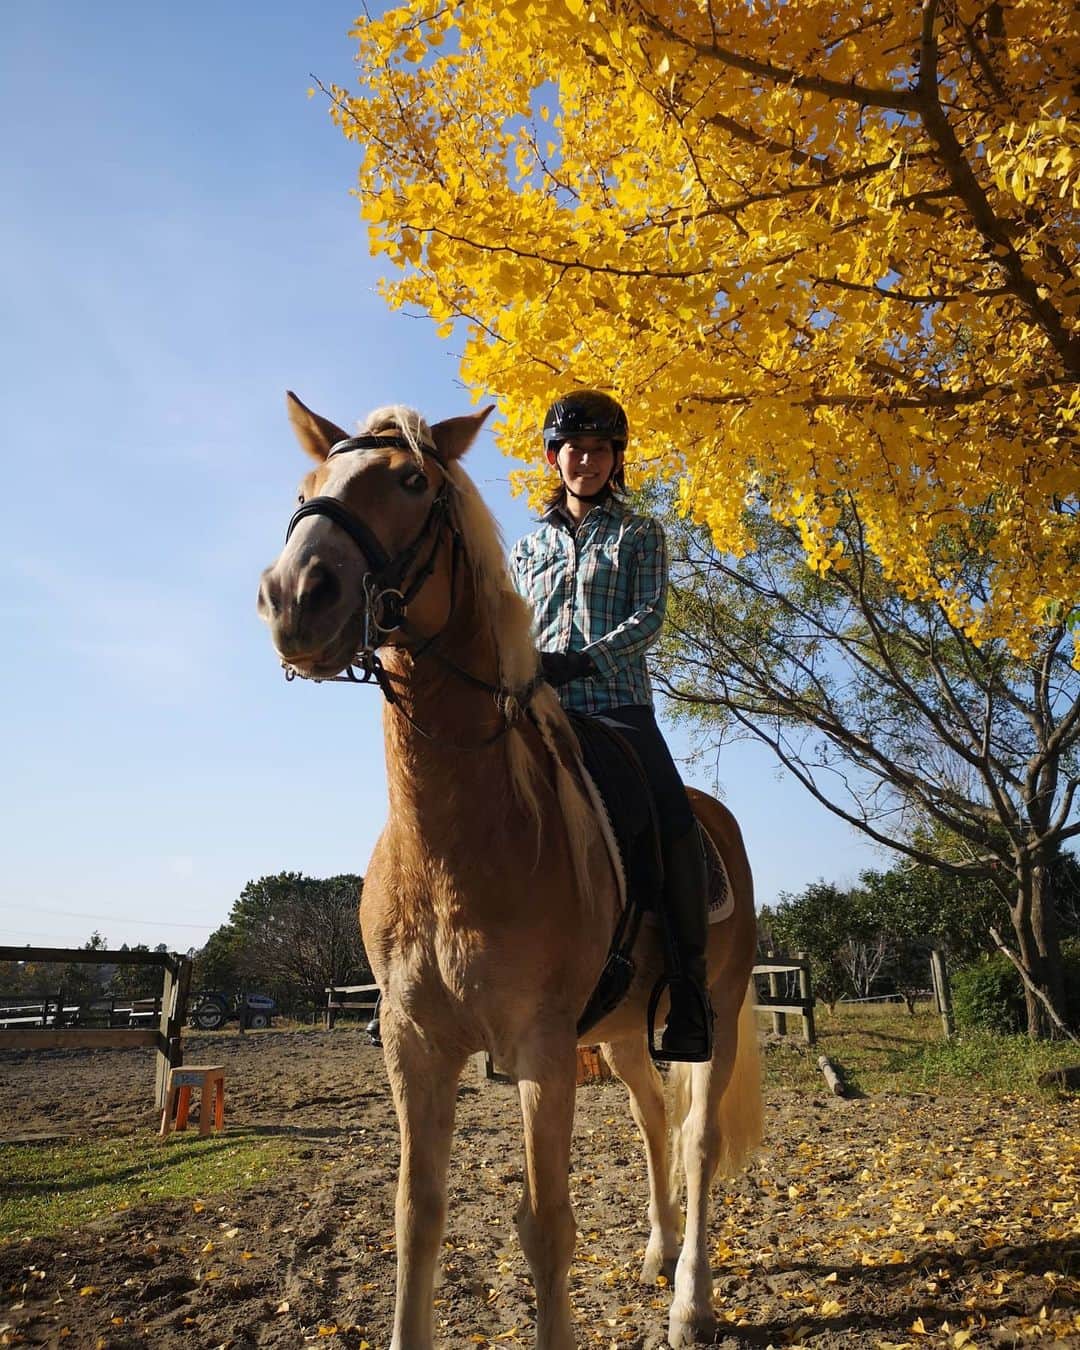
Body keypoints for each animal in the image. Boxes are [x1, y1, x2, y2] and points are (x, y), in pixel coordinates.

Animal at [257, 394, 762, 1349]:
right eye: (305, 490)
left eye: (412, 483)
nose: (296, 596)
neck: (457, 849)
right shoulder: (415, 1046)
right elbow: (416, 1217)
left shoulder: (539, 1052)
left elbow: (547, 1226)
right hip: (618, 1033)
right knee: (651, 1117)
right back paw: (656, 1252)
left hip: (710, 1010)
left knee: (698, 1141)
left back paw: (690, 1300)